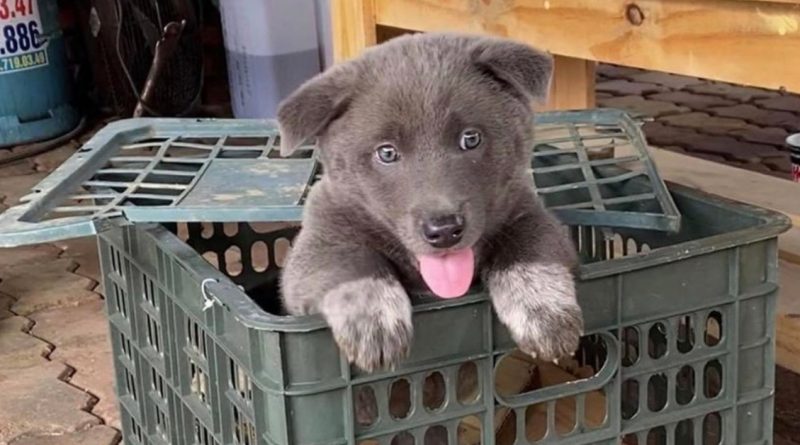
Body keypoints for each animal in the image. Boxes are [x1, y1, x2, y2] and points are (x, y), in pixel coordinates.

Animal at [278, 32, 584, 372]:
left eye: (471, 138)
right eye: (387, 152)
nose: (445, 229)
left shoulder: (530, 213)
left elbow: (528, 250)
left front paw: (543, 312)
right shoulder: (314, 247)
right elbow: (347, 264)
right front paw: (374, 322)